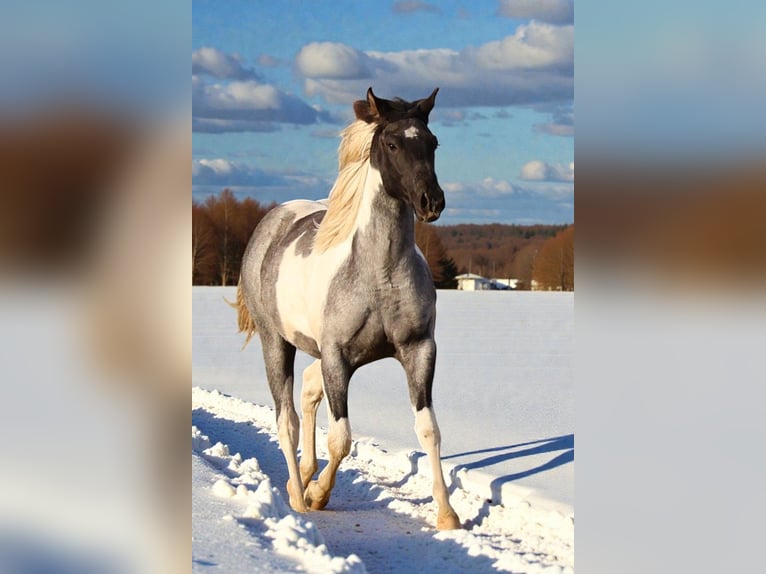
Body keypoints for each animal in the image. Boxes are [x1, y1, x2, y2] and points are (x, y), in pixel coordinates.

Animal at [232, 87, 461, 530]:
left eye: (434, 142)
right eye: (392, 144)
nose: (432, 202)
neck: (379, 273)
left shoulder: (419, 350)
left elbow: (429, 429)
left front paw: (447, 515)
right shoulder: (337, 357)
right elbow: (341, 438)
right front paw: (319, 495)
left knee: (307, 391)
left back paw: (303, 476)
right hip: (276, 343)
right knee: (286, 418)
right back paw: (298, 496)